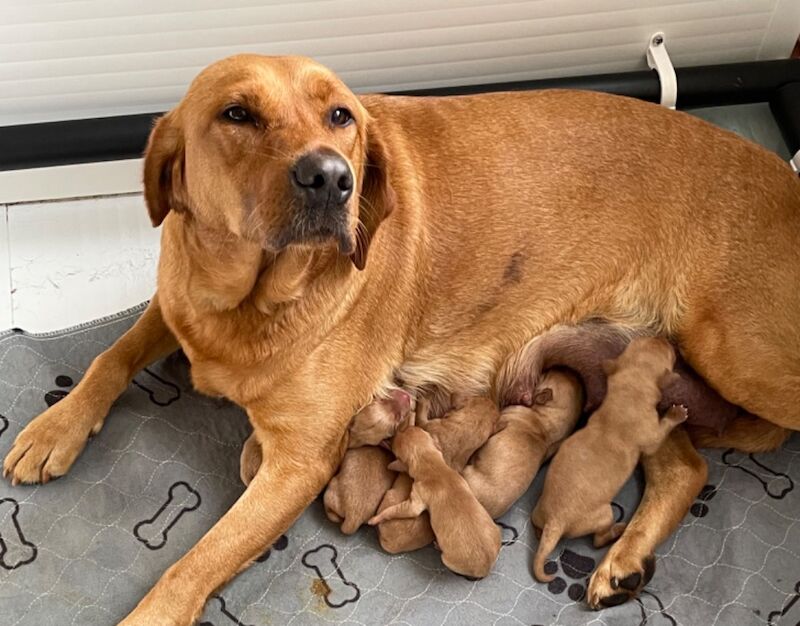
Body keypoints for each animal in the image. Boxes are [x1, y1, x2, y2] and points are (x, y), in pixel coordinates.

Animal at [368, 424, 500, 576]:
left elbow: (392, 511)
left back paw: (437, 546)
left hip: (447, 560)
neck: (433, 465)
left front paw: (375, 518)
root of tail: (486, 568)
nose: (400, 429)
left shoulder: (414, 503)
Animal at [532, 338, 688, 584]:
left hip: (539, 510)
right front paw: (675, 415)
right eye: (670, 354)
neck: (628, 392)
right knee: (597, 540)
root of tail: (555, 522)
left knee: (536, 524)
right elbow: (662, 431)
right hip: (604, 514)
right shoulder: (652, 436)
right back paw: (616, 531)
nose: (664, 338)